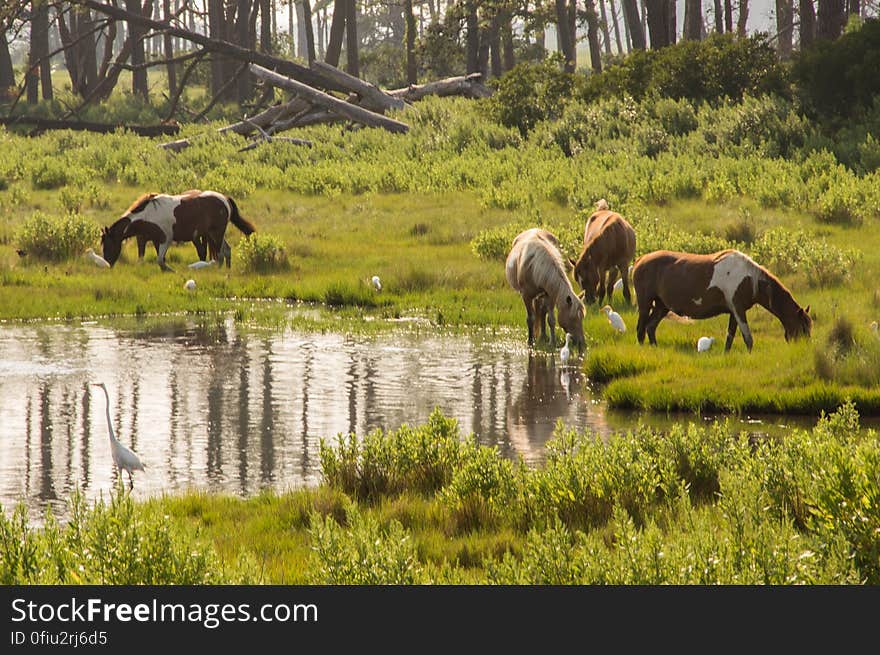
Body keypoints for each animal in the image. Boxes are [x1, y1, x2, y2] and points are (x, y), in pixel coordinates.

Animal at [103, 190, 256, 272]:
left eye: (108, 245)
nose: (107, 264)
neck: (148, 215)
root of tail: (224, 198)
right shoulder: (155, 240)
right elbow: (160, 260)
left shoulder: (166, 239)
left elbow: (160, 260)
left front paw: (172, 270)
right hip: (214, 234)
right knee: (226, 251)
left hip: (216, 234)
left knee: (220, 254)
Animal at [632, 249, 812, 354]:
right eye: (803, 327)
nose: (805, 348)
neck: (750, 279)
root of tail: (640, 259)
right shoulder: (738, 310)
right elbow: (748, 338)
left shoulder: (734, 311)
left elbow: (730, 336)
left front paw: (726, 355)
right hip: (645, 303)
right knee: (641, 329)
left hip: (662, 306)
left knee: (650, 327)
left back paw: (654, 348)